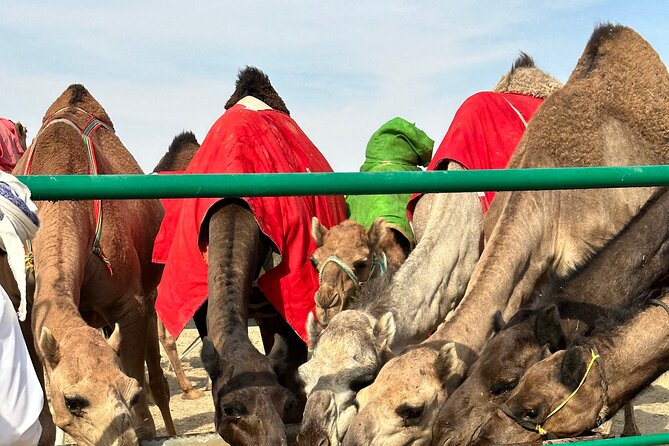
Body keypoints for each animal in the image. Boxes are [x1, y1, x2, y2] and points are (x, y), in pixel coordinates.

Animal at [6, 84, 175, 445]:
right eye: (73, 401)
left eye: (131, 394)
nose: (122, 440)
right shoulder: (24, 305)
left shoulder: (131, 302)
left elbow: (133, 365)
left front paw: (145, 428)